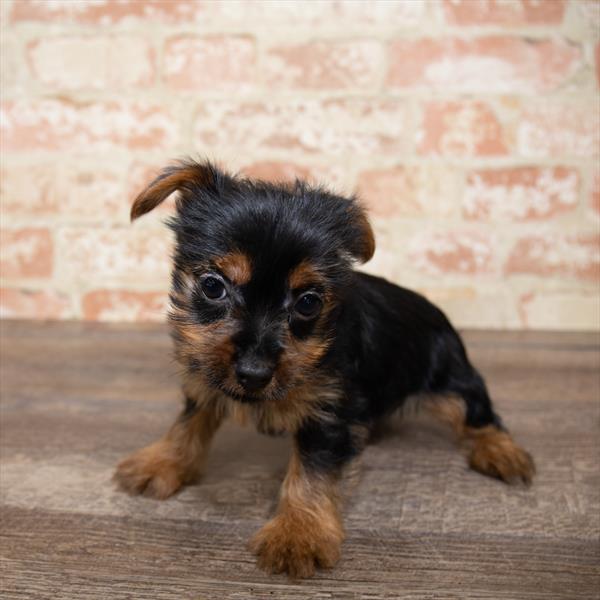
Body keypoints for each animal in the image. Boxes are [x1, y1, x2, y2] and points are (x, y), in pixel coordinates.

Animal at [115, 158, 536, 576]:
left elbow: (313, 472)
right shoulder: (205, 377)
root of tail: (435, 311)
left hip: (448, 376)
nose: (253, 373)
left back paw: (502, 452)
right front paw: (162, 461)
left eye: (308, 303)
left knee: (476, 410)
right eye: (213, 286)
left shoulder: (328, 412)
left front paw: (298, 533)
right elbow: (189, 422)